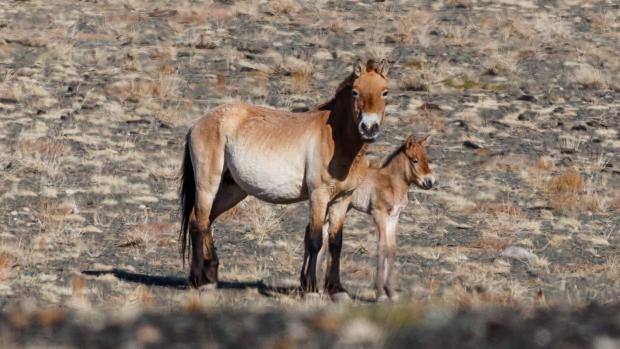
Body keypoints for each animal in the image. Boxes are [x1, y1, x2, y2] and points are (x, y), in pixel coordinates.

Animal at [179, 58, 390, 292]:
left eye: (385, 92)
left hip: (231, 190)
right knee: (198, 223)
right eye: (355, 92)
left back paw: (210, 275)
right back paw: (199, 280)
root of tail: (199, 123)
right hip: (208, 184)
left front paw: (336, 288)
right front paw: (311, 287)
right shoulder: (318, 196)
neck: (336, 139)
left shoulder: (342, 200)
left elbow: (336, 242)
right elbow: (316, 239)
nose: (369, 128)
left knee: (205, 221)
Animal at [318, 135, 434, 300]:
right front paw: (380, 293)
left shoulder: (394, 216)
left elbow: (391, 248)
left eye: (427, 158)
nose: (430, 182)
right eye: (414, 160)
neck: (392, 183)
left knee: (324, 235)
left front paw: (391, 292)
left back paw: (320, 288)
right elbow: (382, 247)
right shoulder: (379, 214)